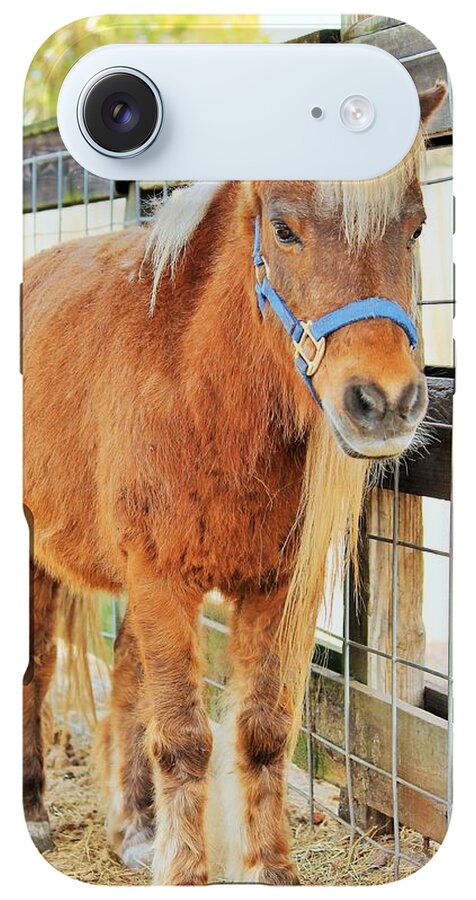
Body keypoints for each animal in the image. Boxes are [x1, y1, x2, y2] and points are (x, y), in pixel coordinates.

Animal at [22, 81, 447, 884]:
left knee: (126, 681)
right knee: (36, 669)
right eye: (283, 230)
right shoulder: (161, 578)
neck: (202, 395)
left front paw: (269, 871)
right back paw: (33, 811)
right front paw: (187, 873)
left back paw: (133, 828)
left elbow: (261, 732)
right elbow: (186, 739)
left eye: (416, 229)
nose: (385, 402)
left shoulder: (273, 588)